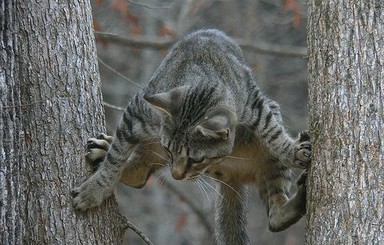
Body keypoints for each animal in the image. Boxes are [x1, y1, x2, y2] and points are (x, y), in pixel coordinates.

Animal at [73, 29, 312, 245]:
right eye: (168, 149)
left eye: (197, 159)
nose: (176, 175)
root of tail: (233, 179)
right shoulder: (136, 113)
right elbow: (115, 159)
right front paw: (94, 191)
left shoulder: (257, 104)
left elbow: (273, 132)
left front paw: (294, 151)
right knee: (138, 173)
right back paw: (103, 150)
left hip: (271, 155)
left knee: (275, 216)